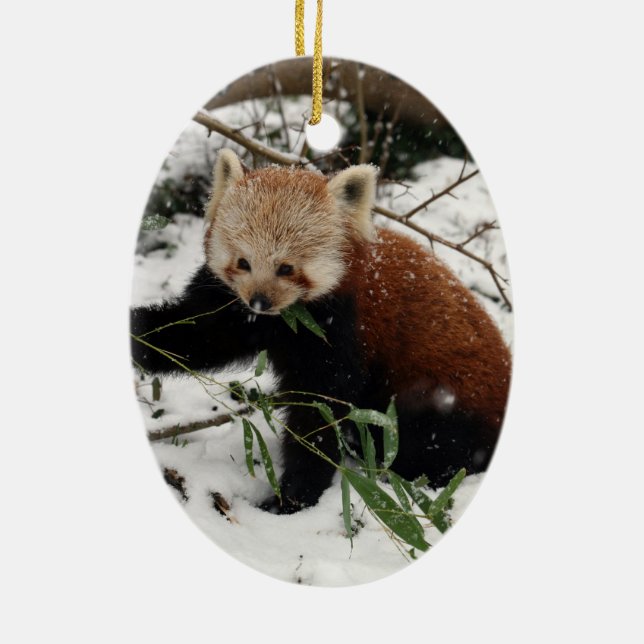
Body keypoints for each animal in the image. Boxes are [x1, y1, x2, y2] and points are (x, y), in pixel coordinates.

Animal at [131, 149, 512, 514]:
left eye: (286, 268)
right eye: (243, 262)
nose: (260, 301)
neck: (285, 320)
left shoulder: (341, 329)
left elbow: (320, 408)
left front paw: (293, 497)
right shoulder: (231, 307)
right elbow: (195, 335)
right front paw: (139, 337)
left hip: (442, 398)